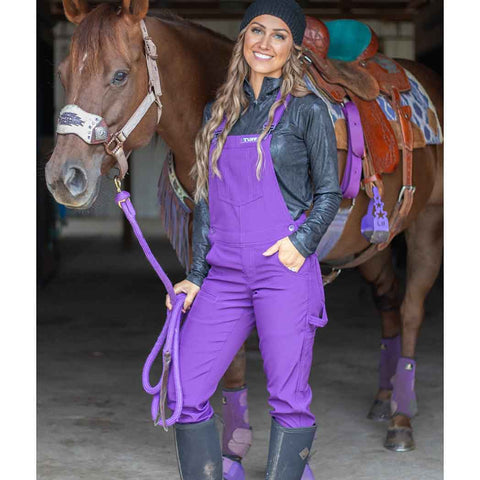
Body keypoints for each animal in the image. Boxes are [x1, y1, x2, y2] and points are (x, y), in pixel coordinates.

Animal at [47, 0, 444, 456]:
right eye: (62, 74)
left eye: (119, 75)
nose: (63, 178)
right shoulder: (202, 251)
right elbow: (226, 347)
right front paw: (233, 439)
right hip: (368, 246)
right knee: (388, 299)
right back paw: (383, 398)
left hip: (428, 226)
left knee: (411, 309)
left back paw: (401, 417)